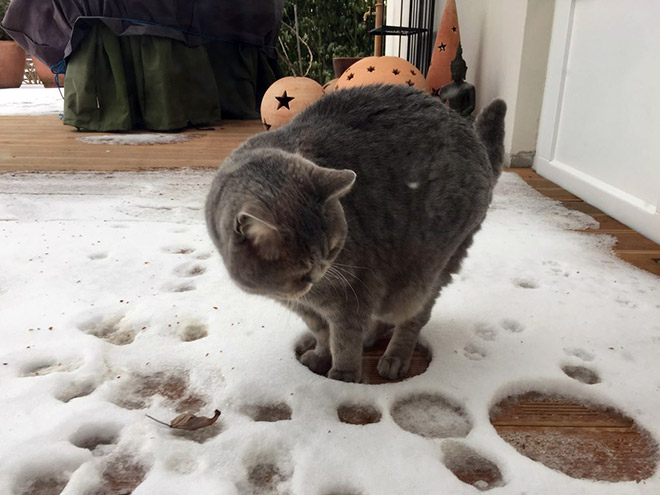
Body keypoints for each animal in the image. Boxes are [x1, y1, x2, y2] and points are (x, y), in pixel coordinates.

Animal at [206, 84, 506, 384]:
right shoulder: (301, 306)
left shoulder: (354, 293)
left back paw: (394, 358)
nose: (317, 274)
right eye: (298, 269)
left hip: (426, 276)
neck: (308, 295)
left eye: (332, 249)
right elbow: (321, 332)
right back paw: (371, 336)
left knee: (413, 318)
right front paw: (320, 357)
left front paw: (343, 377)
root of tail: (477, 143)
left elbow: (343, 340)